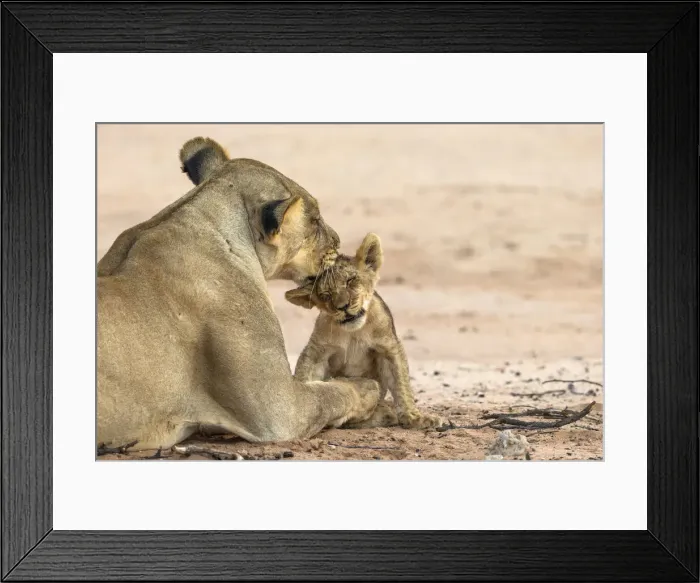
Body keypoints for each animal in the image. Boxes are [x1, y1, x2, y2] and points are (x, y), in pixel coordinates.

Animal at [285, 233, 443, 430]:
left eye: (350, 280)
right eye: (325, 295)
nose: (343, 306)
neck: (354, 332)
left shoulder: (388, 346)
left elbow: (401, 383)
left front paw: (415, 418)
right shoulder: (317, 350)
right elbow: (305, 374)